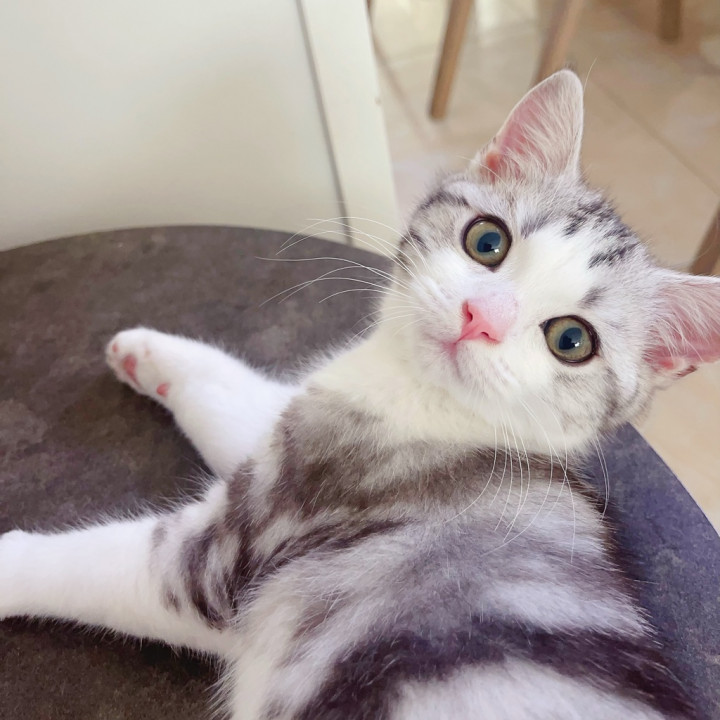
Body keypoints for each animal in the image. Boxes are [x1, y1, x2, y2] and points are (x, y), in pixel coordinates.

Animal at [2, 70, 720, 720]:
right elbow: (240, 403)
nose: (480, 318)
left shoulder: (226, 558)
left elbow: (103, 563)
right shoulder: (298, 432)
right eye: (487, 240)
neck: (410, 397)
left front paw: (11, 560)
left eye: (571, 341)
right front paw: (149, 352)